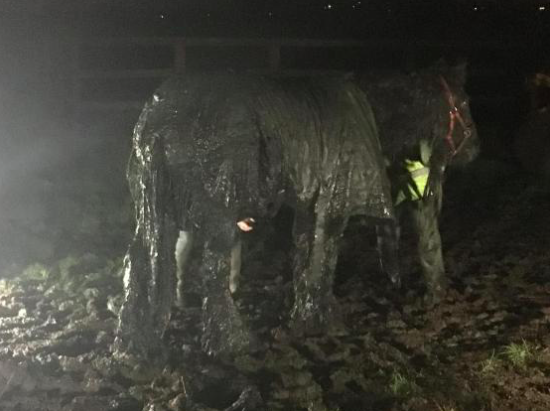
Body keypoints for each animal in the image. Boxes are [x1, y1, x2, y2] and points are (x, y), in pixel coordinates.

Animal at [114, 75, 394, 360]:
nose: (394, 282)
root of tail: (155, 134)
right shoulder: (341, 162)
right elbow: (325, 228)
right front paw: (329, 328)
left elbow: (307, 228)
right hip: (219, 168)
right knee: (216, 249)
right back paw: (238, 347)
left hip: (145, 172)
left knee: (144, 248)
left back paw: (130, 351)